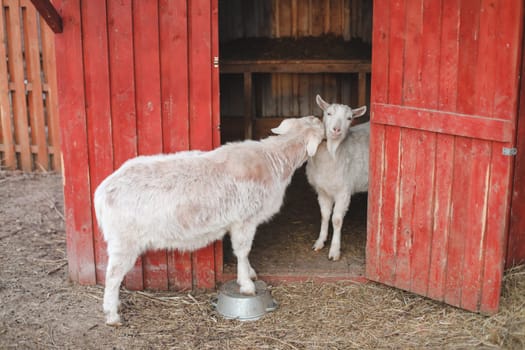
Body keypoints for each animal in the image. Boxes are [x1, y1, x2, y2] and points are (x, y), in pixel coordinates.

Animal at [94, 115, 324, 326]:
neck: (274, 158)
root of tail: (102, 192)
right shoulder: (244, 219)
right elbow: (243, 251)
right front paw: (246, 284)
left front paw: (250, 273)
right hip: (124, 240)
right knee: (112, 275)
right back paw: (112, 315)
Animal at [302, 94, 368, 262]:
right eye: (328, 113)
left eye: (349, 118)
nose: (336, 130)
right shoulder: (322, 190)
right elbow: (325, 216)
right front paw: (320, 241)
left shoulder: (343, 191)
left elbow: (336, 220)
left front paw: (334, 250)